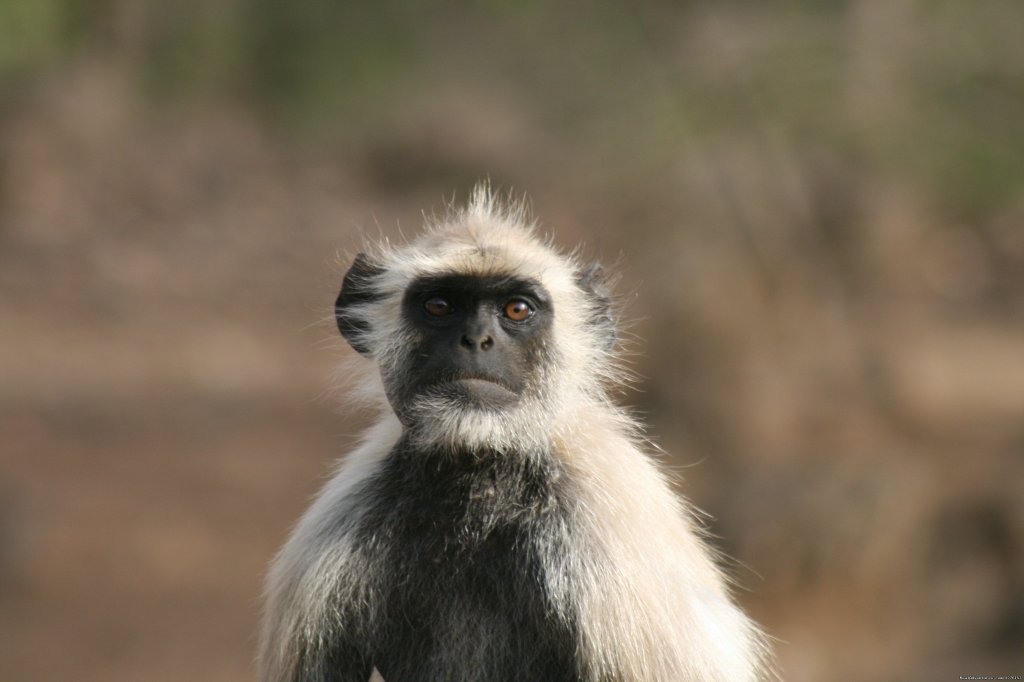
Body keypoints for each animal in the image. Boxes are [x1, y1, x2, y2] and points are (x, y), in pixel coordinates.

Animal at [260, 186, 770, 679]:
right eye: (439, 305)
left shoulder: (612, 539)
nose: (477, 340)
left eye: (517, 309)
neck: (478, 482)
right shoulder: (329, 544)